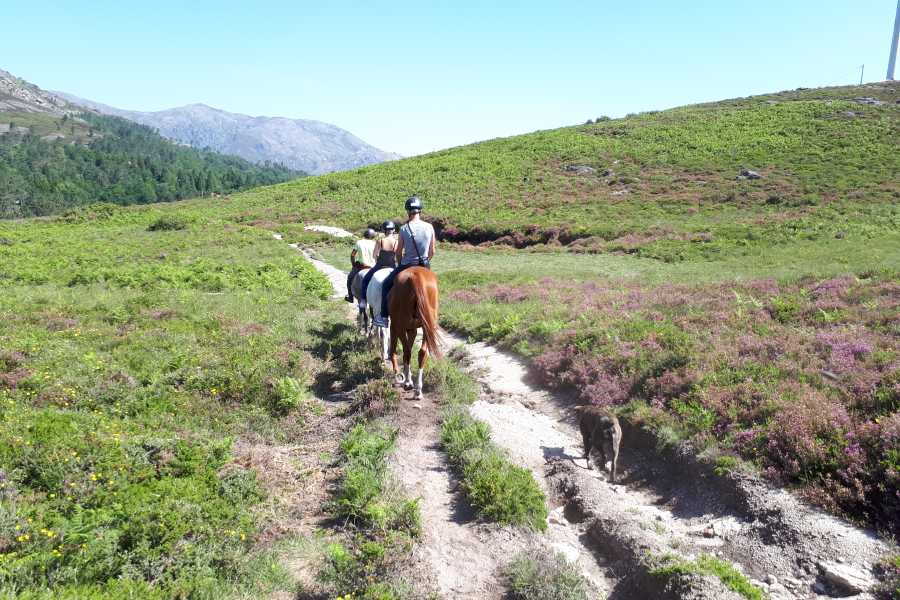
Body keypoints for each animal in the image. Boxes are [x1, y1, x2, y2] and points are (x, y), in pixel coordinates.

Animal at [387, 267, 441, 400]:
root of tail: (416, 276)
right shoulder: (412, 330)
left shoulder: (395, 327)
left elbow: (395, 350)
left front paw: (403, 377)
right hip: (428, 327)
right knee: (422, 353)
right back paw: (418, 390)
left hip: (400, 327)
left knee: (407, 352)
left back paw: (408, 383)